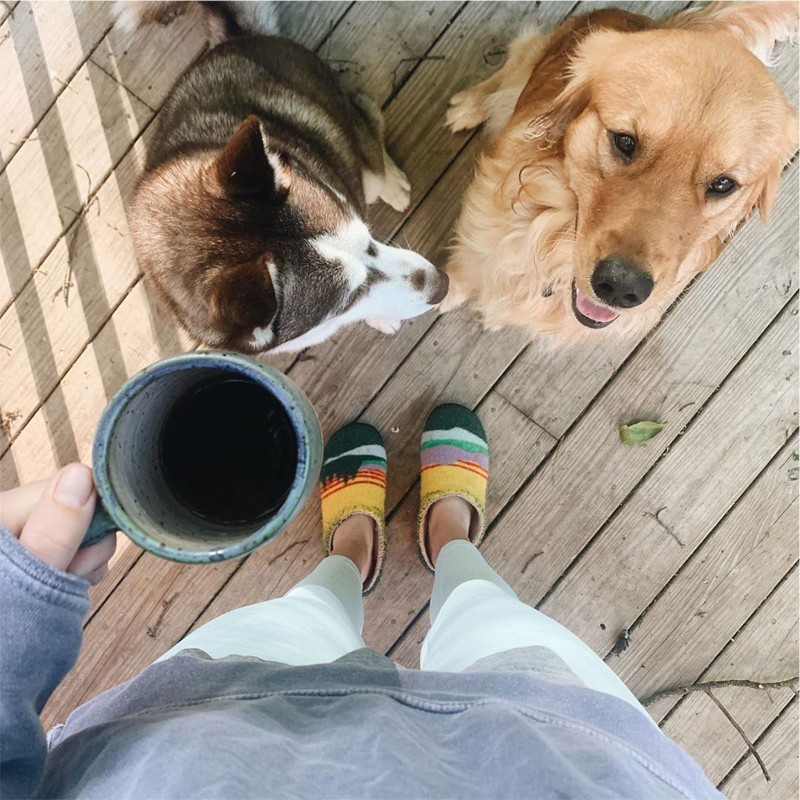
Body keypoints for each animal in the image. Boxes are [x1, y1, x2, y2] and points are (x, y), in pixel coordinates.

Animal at [119, 3, 446, 354]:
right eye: (348, 300)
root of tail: (240, 37)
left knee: (368, 122)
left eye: (368, 242)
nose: (442, 283)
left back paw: (392, 182)